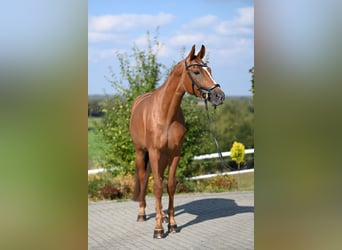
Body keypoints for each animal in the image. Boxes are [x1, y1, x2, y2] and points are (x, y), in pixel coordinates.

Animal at [129, 45, 224, 238]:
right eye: (196, 71)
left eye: (210, 70)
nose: (219, 96)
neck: (165, 114)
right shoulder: (154, 153)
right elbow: (157, 187)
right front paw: (158, 229)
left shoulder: (174, 154)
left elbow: (170, 185)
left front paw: (172, 224)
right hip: (141, 152)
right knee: (143, 179)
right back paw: (142, 213)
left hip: (163, 157)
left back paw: (163, 215)